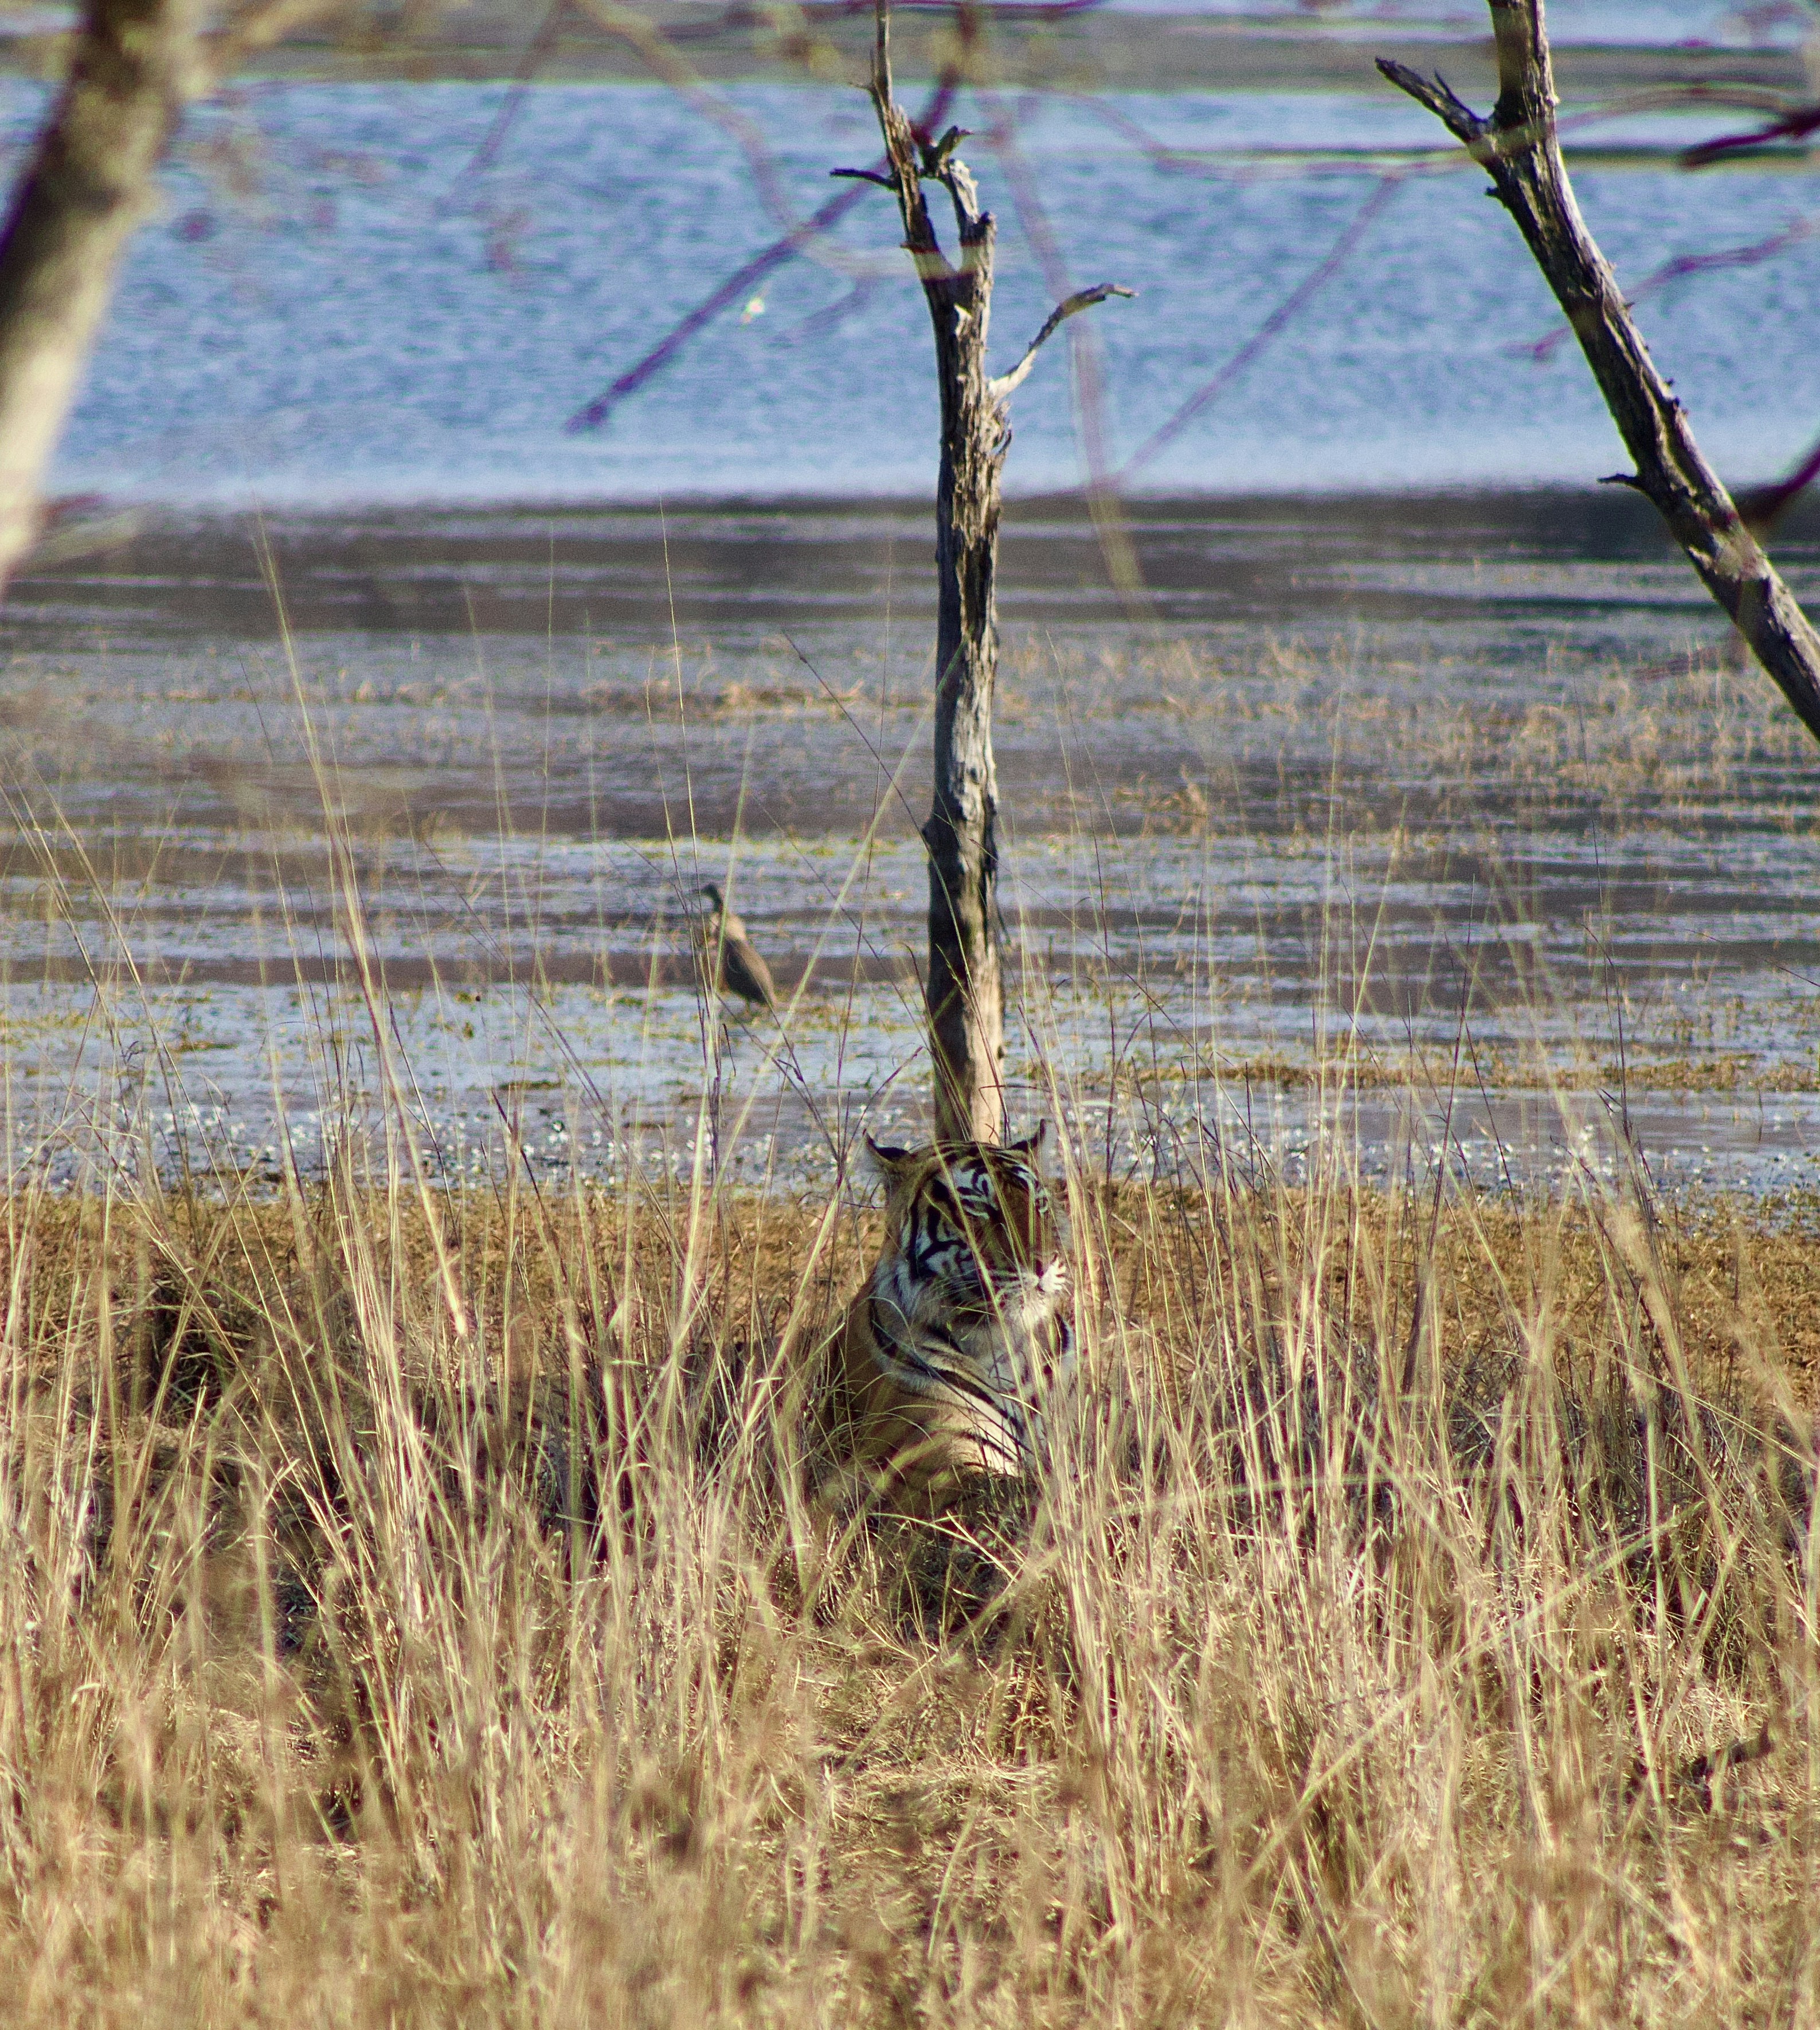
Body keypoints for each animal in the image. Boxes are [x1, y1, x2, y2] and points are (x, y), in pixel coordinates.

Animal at [810, 1125, 1075, 1516]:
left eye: (1039, 1204)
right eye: (979, 1208)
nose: (1045, 1264)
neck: (1005, 1342)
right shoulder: (937, 1468)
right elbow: (1013, 1491)